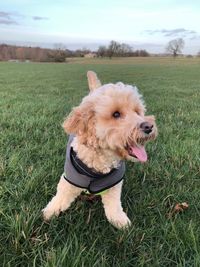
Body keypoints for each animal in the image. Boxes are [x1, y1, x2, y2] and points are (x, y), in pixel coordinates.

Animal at [42, 71, 158, 230]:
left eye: (137, 112)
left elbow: (114, 205)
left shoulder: (113, 184)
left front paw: (120, 220)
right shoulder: (69, 180)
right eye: (116, 114)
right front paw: (50, 211)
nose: (149, 126)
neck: (100, 160)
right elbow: (61, 196)